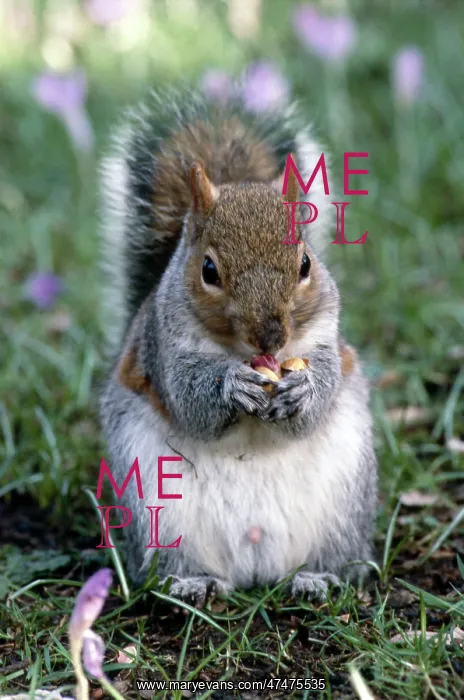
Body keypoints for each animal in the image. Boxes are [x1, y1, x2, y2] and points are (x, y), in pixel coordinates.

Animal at [98, 86, 377, 605]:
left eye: (305, 263)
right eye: (209, 271)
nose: (271, 336)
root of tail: (255, 568)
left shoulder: (324, 335)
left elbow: (325, 379)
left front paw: (303, 389)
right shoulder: (164, 350)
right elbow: (190, 399)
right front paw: (232, 387)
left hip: (343, 508)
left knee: (331, 559)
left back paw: (315, 578)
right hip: (158, 509)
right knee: (175, 564)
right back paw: (193, 584)